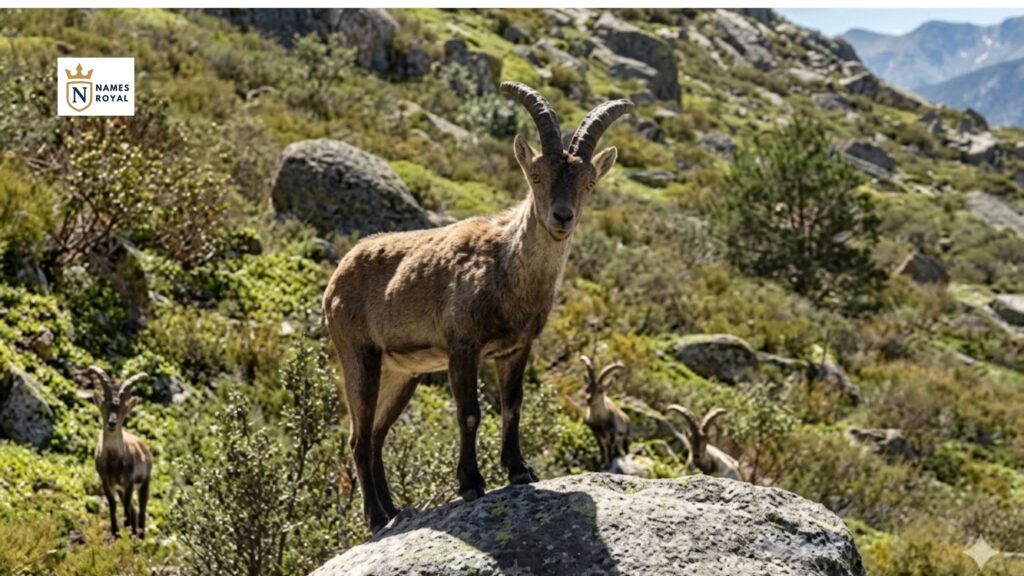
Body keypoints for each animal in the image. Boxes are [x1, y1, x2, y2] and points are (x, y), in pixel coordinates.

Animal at [86, 366, 153, 539]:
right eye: (105, 406)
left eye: (122, 409)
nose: (112, 423)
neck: (113, 459)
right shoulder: (107, 482)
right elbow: (112, 504)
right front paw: (115, 531)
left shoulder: (128, 481)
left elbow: (127, 505)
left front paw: (126, 526)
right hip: (120, 488)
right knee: (133, 509)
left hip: (145, 482)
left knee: (140, 509)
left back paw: (139, 535)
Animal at [323, 82, 633, 531]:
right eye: (536, 175)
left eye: (589, 183)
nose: (562, 217)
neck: (507, 267)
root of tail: (337, 275)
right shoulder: (463, 347)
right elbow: (469, 413)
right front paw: (471, 484)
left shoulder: (515, 349)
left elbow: (513, 404)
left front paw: (520, 470)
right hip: (358, 354)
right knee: (359, 436)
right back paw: (376, 517)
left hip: (402, 373)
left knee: (378, 433)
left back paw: (395, 510)